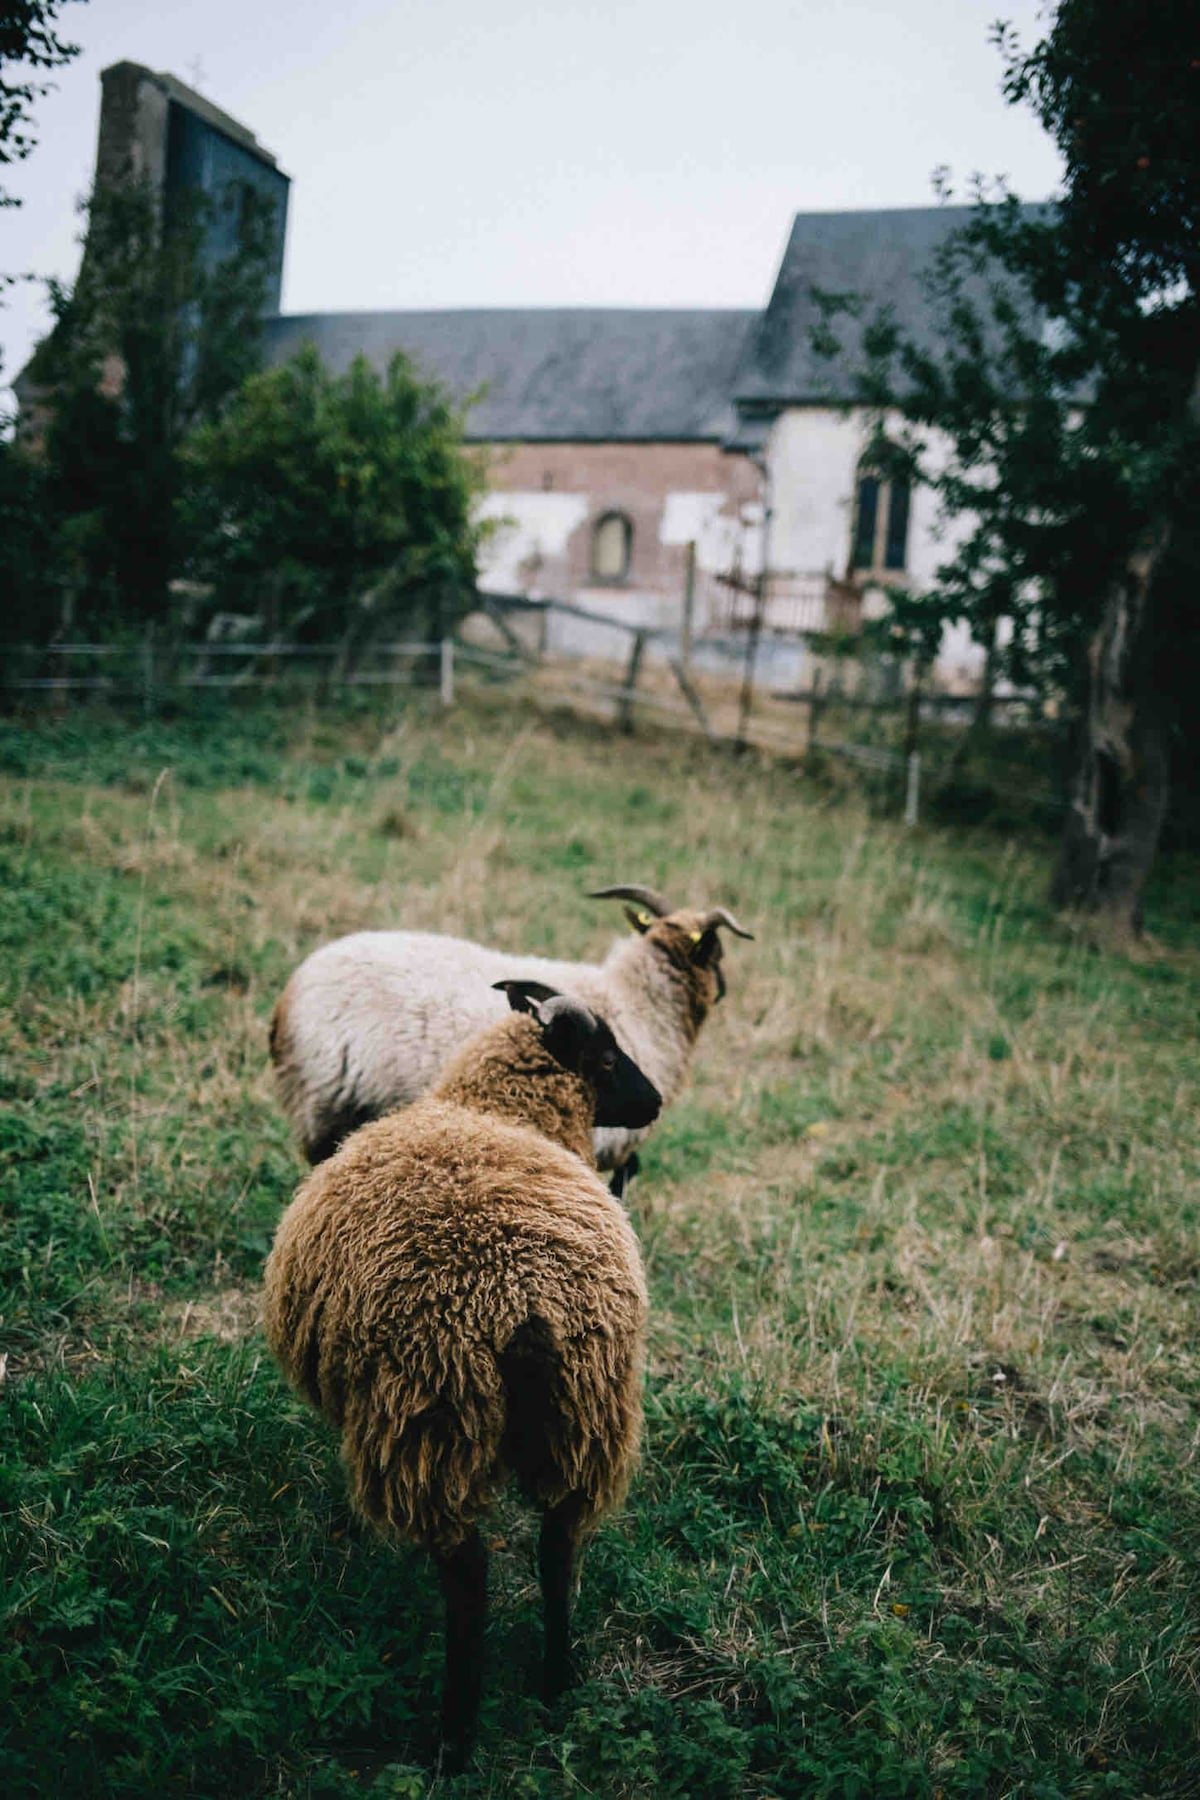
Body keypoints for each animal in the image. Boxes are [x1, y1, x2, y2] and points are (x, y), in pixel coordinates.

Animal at [260, 979, 665, 1764]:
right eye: (606, 1058)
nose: (654, 1101)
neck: (491, 1108)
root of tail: (526, 1299)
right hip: (589, 1415)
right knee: (559, 1546)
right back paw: (556, 1681)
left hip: (432, 1415)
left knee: (467, 1576)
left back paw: (455, 1736)